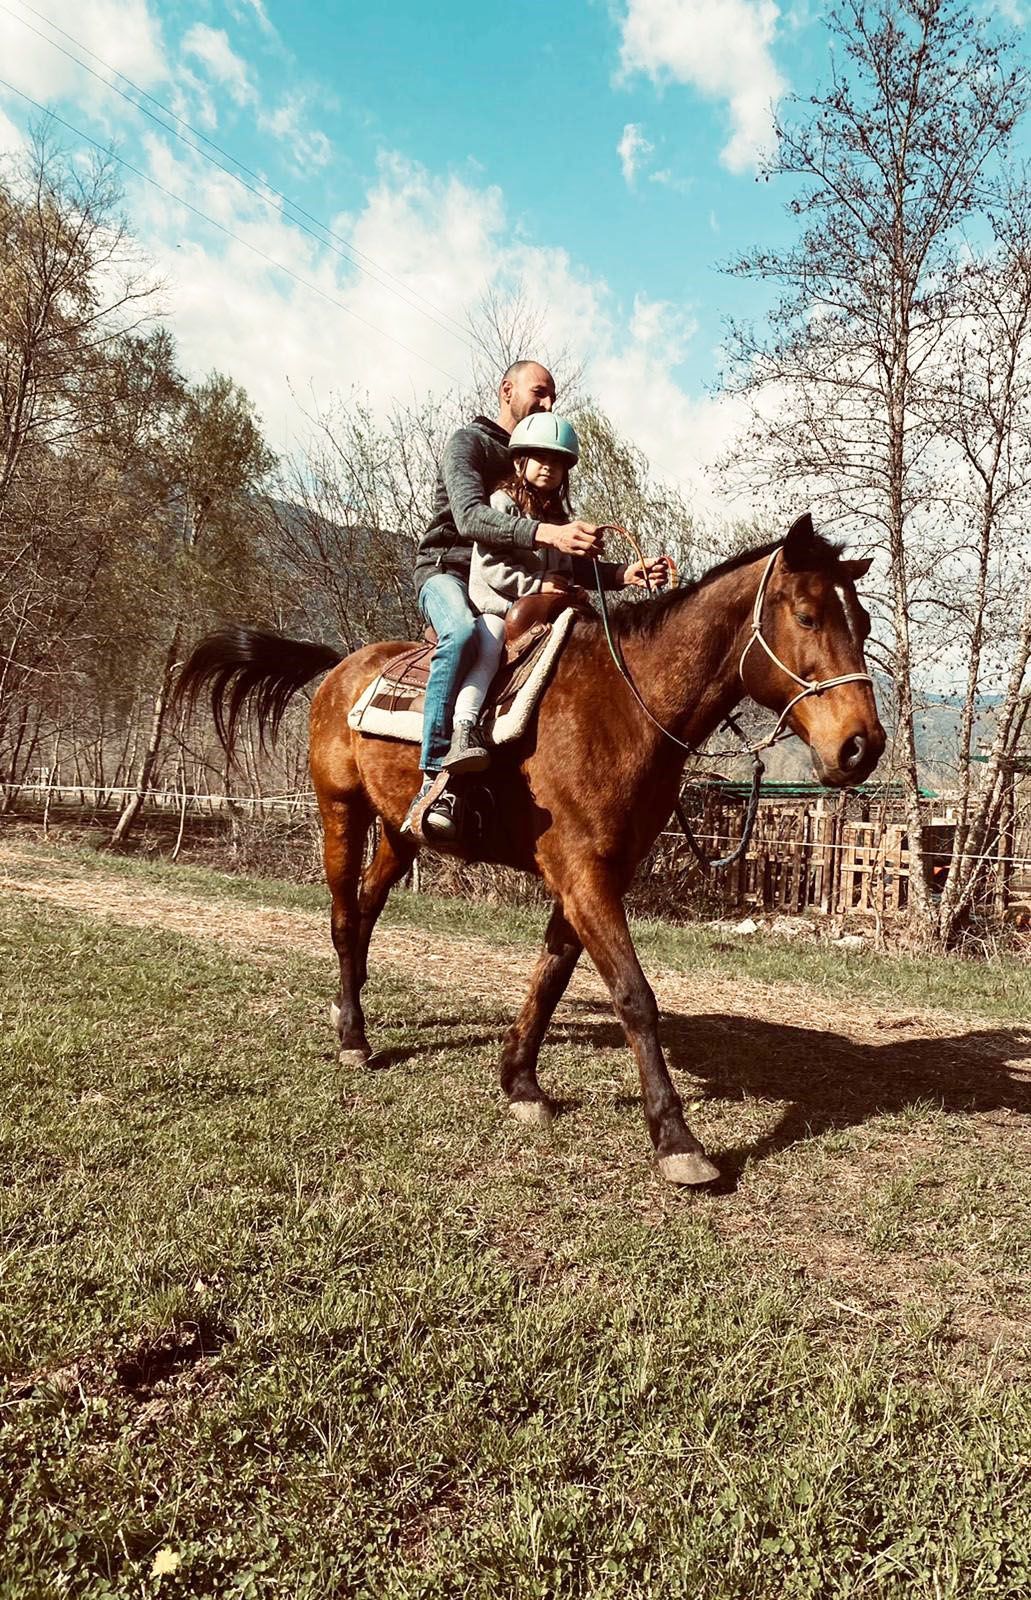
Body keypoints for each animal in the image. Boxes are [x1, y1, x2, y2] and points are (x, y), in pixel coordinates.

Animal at [177, 513, 885, 1187]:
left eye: (865, 622)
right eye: (807, 616)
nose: (862, 746)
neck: (624, 704)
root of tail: (342, 668)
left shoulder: (596, 874)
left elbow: (551, 975)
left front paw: (520, 1082)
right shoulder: (583, 872)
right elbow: (633, 995)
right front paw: (676, 1141)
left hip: (401, 833)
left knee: (370, 909)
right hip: (340, 813)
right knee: (346, 918)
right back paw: (353, 1036)